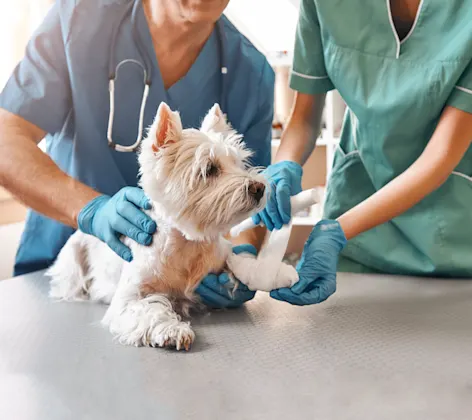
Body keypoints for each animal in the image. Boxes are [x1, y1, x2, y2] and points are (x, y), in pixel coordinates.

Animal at [48, 102, 296, 352]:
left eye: (238, 163)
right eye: (210, 169)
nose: (259, 188)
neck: (187, 246)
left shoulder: (221, 257)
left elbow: (240, 263)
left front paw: (274, 273)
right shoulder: (128, 298)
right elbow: (149, 310)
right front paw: (173, 331)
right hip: (72, 262)